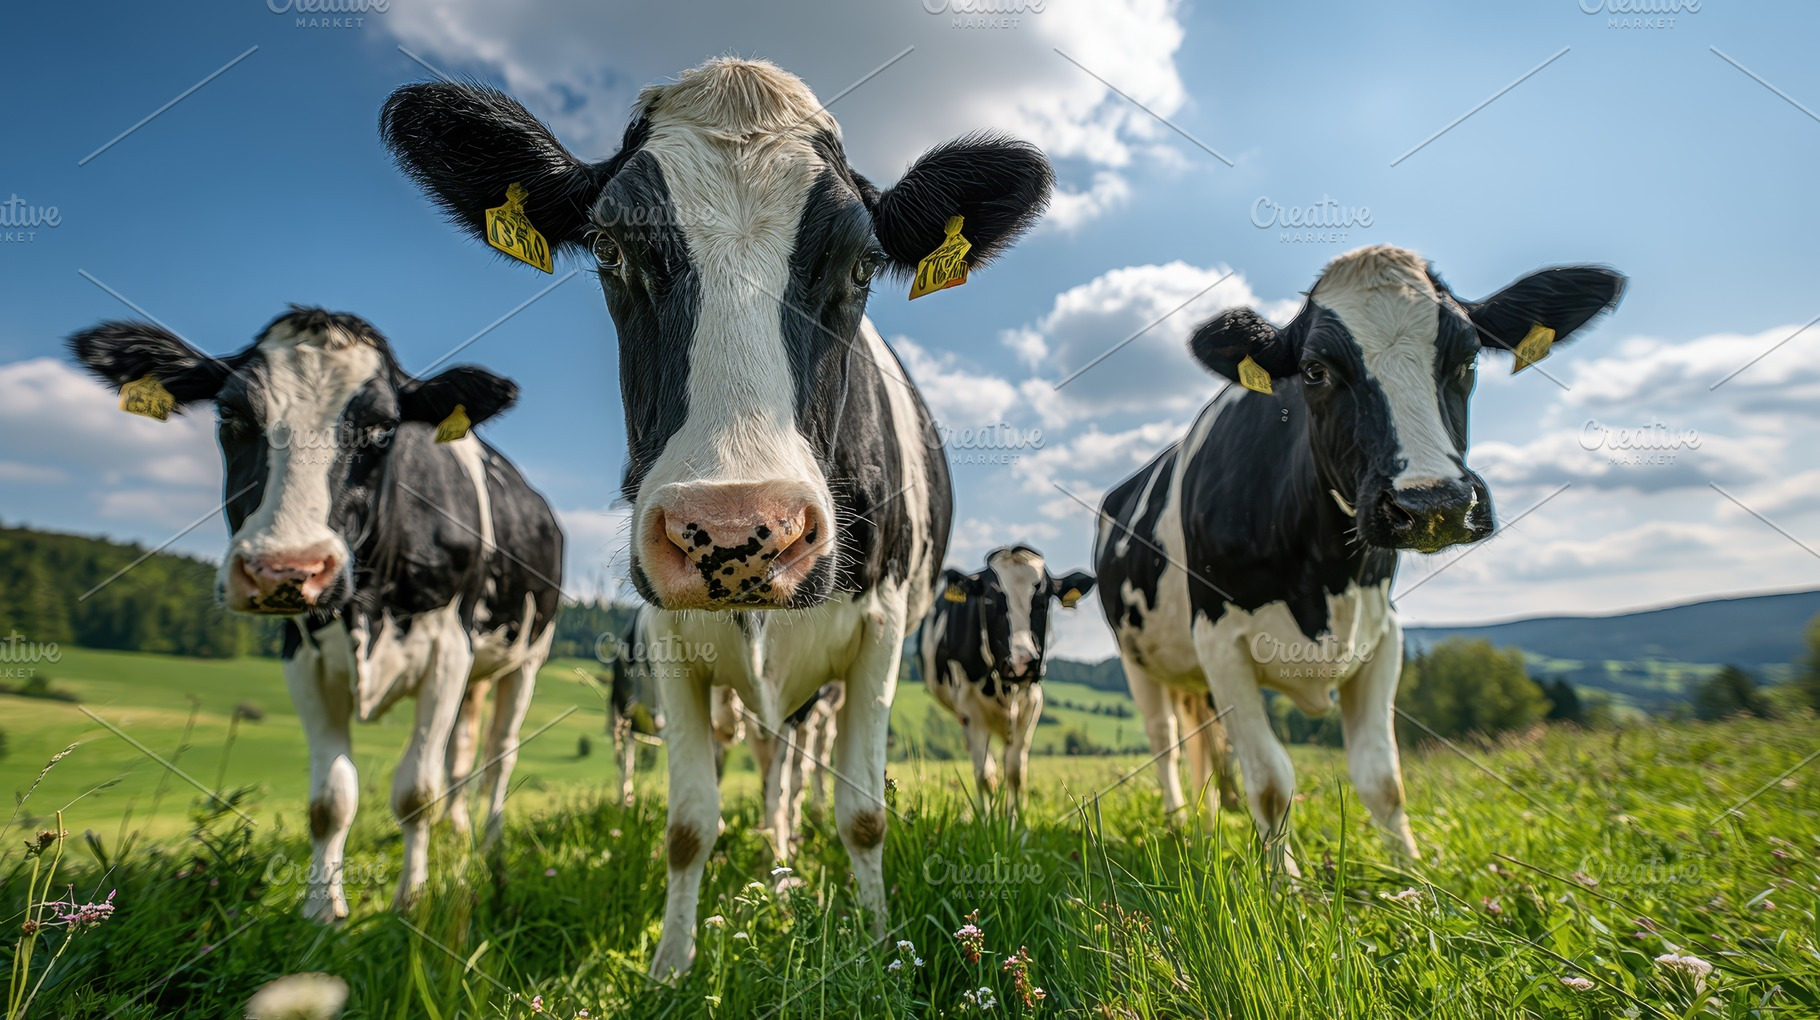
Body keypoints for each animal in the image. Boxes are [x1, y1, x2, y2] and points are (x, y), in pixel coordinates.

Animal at [69, 306, 564, 918]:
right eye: (231, 413)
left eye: (383, 428)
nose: (286, 568)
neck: (370, 607)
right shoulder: (303, 657)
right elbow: (331, 799)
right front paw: (322, 910)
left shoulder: (448, 649)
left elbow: (415, 791)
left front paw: (411, 901)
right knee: (464, 750)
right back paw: (460, 830)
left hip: (527, 659)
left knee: (500, 755)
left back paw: (491, 842)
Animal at [380, 56, 1051, 976]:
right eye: (613, 250)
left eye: (861, 263)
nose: (738, 530)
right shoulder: (667, 632)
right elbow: (689, 825)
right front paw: (670, 968)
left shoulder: (881, 629)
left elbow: (863, 812)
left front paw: (879, 945)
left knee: (796, 768)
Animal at [919, 546, 1094, 806]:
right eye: (990, 600)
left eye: (1043, 601)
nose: (1021, 662)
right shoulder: (969, 709)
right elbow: (985, 775)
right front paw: (987, 817)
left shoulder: (1033, 701)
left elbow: (1015, 771)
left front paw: (1016, 817)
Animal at [1094, 245, 1624, 872]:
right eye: (1316, 370)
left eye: (1468, 357)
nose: (1433, 503)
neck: (1322, 576)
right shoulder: (1221, 641)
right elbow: (1270, 781)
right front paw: (1285, 886)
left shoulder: (1383, 634)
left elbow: (1382, 778)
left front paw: (1413, 876)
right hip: (1137, 658)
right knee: (1164, 742)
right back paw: (1180, 824)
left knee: (1203, 744)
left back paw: (1206, 825)